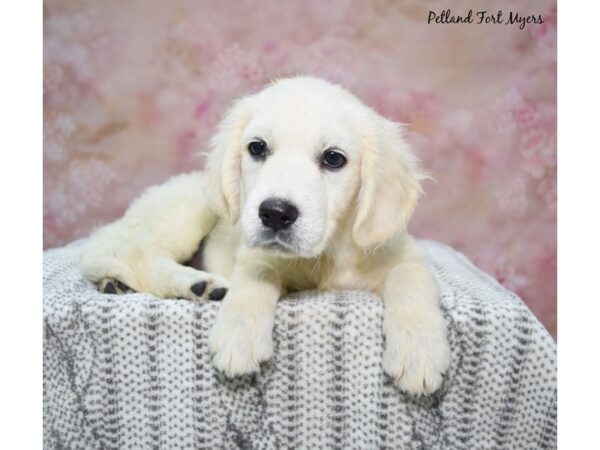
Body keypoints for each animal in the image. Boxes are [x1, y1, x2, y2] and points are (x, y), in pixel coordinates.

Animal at [82, 76, 452, 394]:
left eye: (334, 158)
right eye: (257, 148)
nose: (274, 213)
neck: (325, 254)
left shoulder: (404, 254)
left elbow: (410, 279)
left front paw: (418, 351)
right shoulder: (255, 251)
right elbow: (255, 273)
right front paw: (239, 335)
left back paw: (121, 284)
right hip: (190, 206)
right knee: (141, 255)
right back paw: (198, 284)